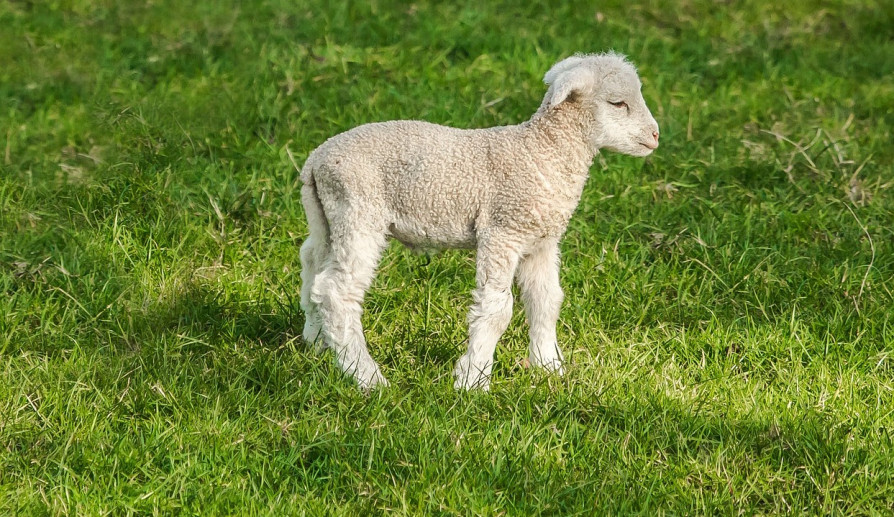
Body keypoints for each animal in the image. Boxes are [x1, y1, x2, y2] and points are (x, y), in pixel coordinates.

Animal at [300, 53, 656, 392]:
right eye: (618, 103)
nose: (655, 135)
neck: (543, 151)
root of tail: (315, 162)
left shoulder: (540, 242)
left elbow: (546, 301)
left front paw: (548, 368)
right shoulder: (502, 232)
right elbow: (497, 310)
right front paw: (473, 380)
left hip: (328, 217)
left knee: (313, 267)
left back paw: (317, 342)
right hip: (359, 211)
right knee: (337, 293)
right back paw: (367, 378)